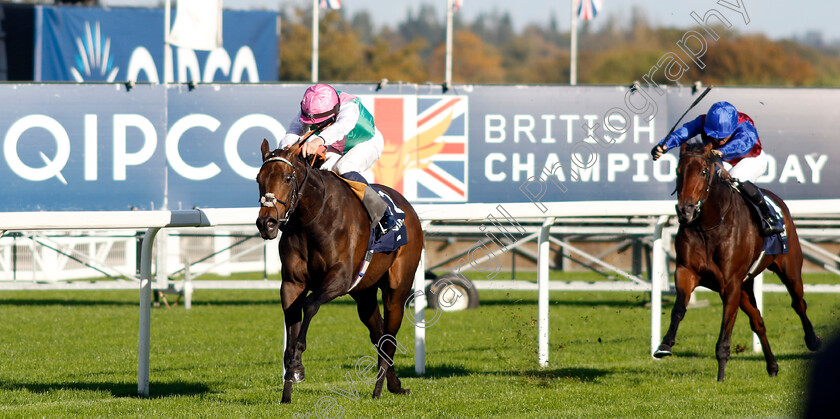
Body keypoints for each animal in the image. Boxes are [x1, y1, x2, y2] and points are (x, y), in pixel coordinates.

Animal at [254, 140, 426, 404]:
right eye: (258, 179)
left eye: (287, 178)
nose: (267, 223)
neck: (312, 218)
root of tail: (408, 208)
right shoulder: (292, 283)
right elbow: (292, 322)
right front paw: (288, 384)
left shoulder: (340, 278)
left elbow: (310, 305)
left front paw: (297, 366)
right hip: (365, 293)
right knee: (378, 332)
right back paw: (394, 384)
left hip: (397, 288)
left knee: (390, 335)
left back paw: (379, 389)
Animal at [656, 141, 820, 380]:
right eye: (678, 172)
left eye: (703, 172)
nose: (685, 210)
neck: (708, 225)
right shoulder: (686, 271)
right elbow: (678, 309)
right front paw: (664, 345)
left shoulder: (730, 284)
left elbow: (725, 332)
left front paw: (721, 377)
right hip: (745, 286)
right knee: (758, 321)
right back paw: (772, 367)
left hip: (789, 269)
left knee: (799, 303)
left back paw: (813, 340)